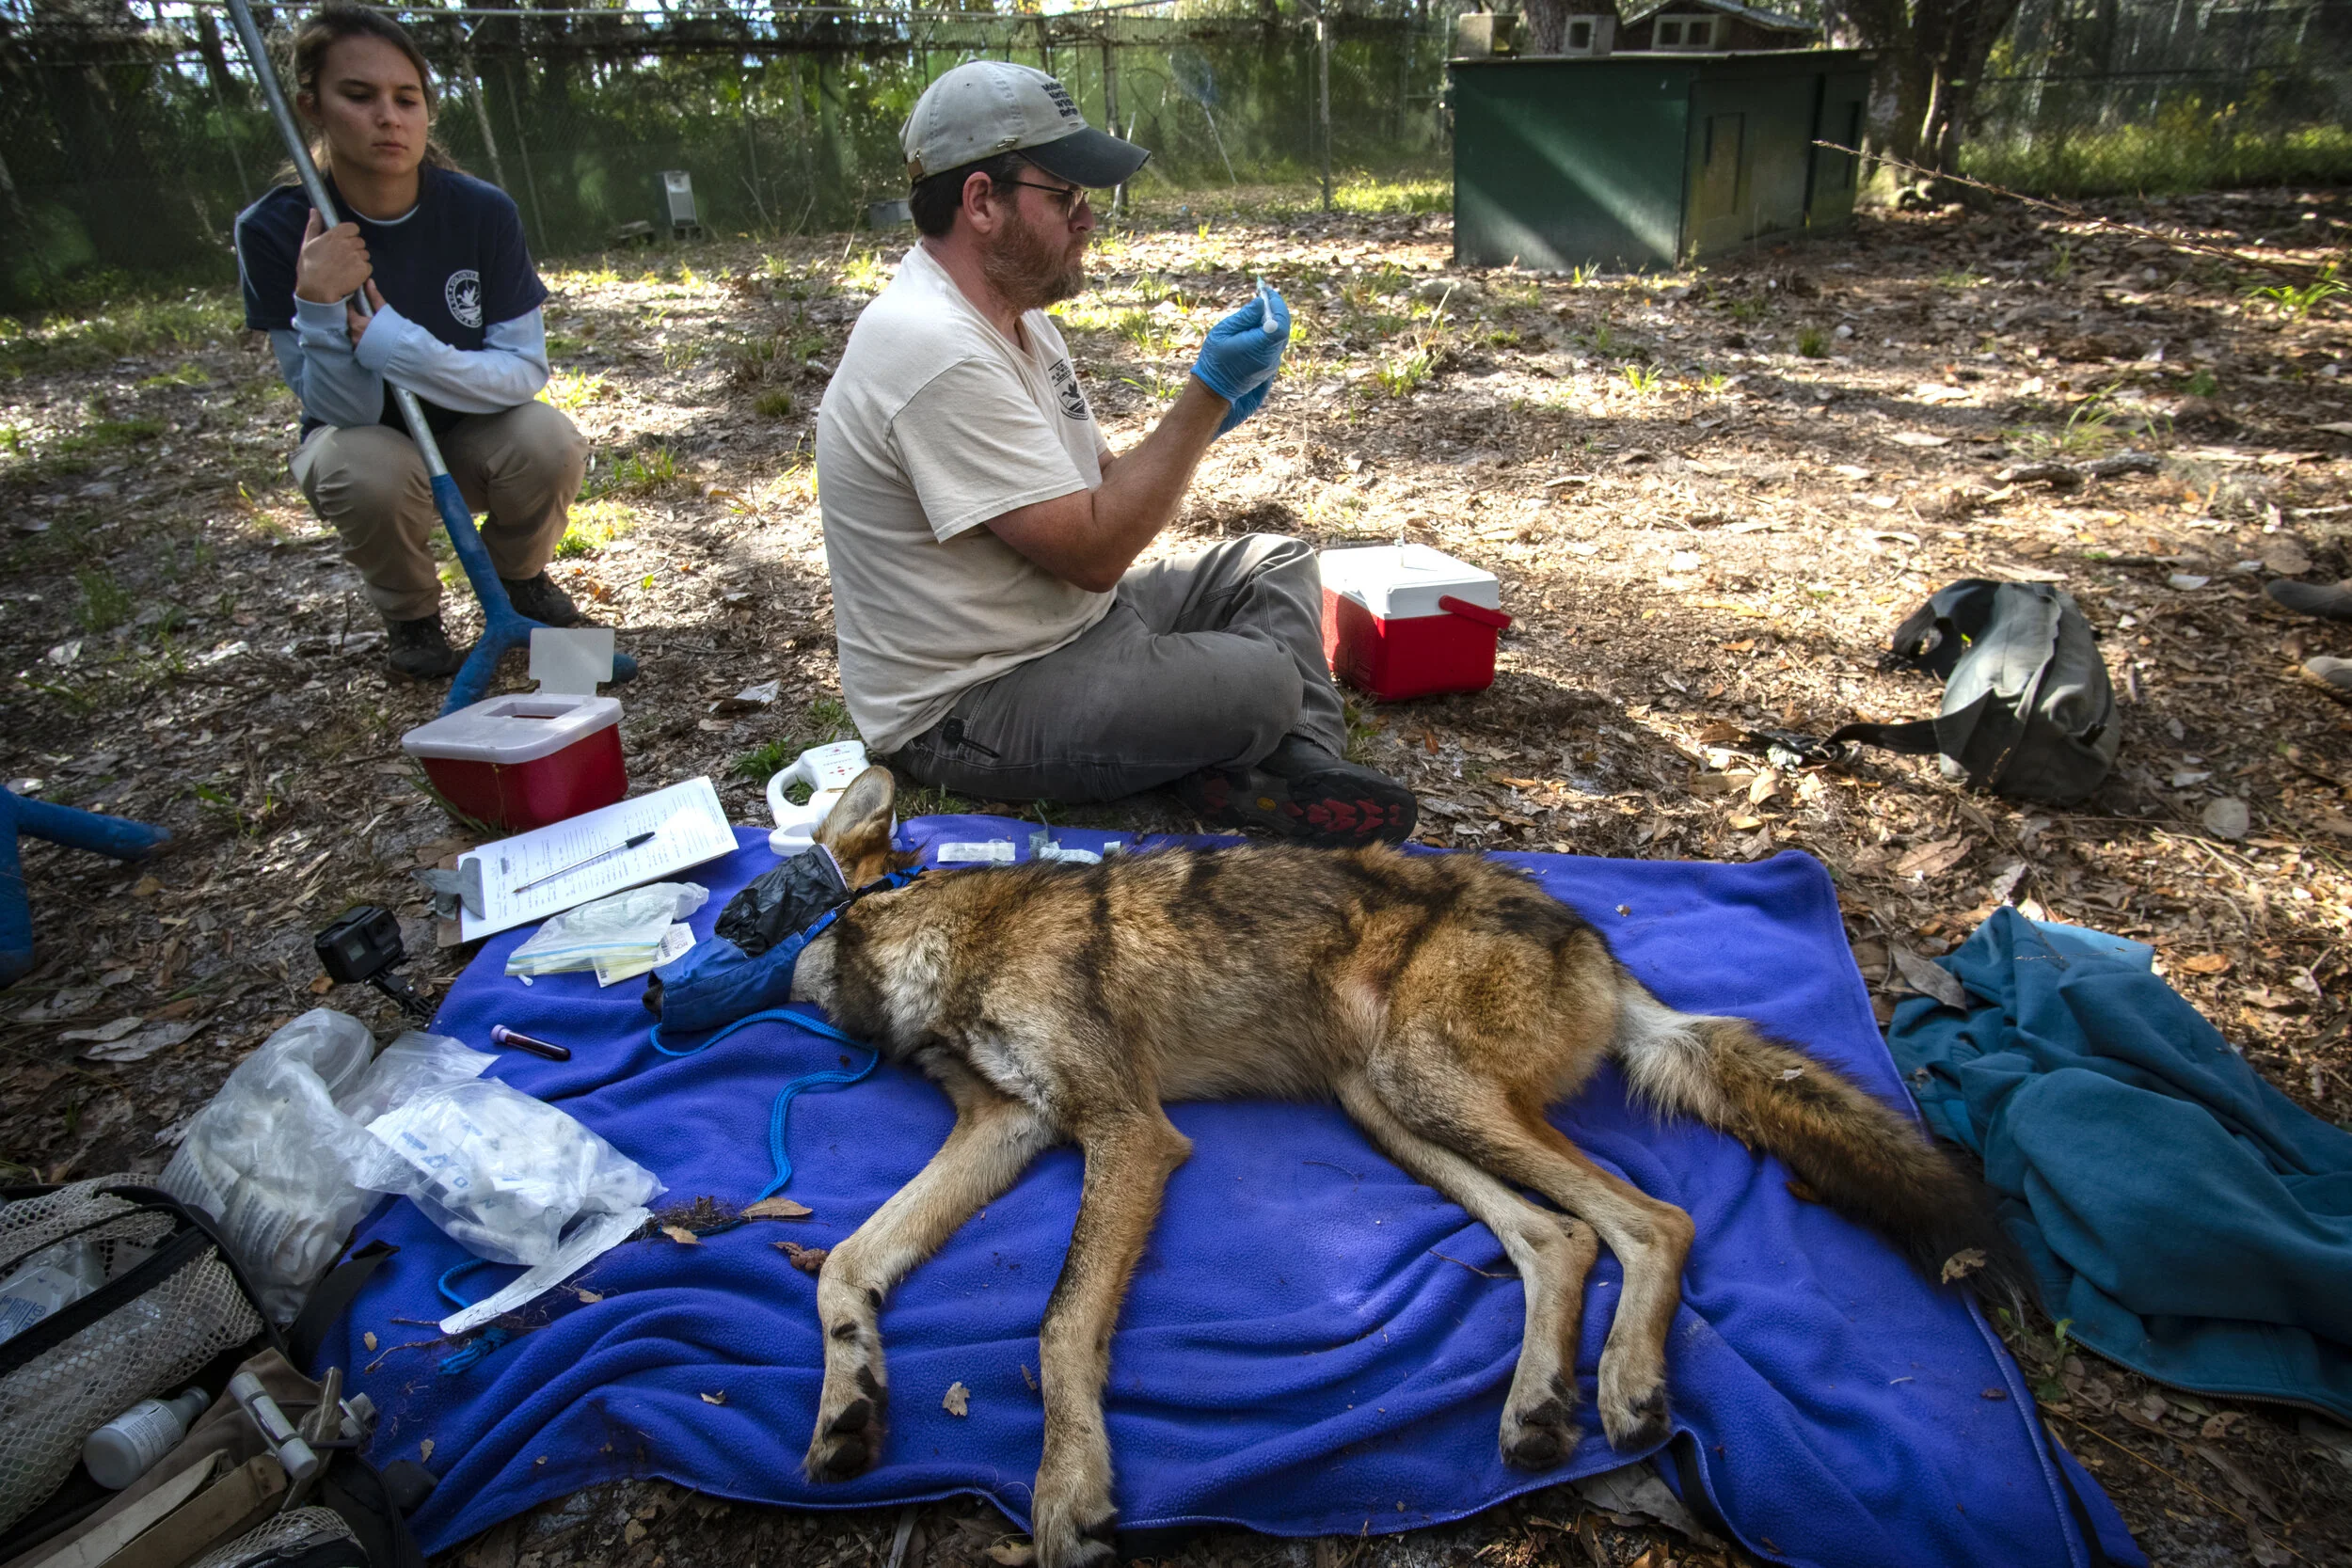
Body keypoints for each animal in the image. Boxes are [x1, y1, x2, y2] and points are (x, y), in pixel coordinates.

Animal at [788, 767, 1998, 1567]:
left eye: (760, 901)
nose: (684, 991)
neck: (948, 934)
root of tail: (1598, 945)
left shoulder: (1127, 1132)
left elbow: (1056, 1322)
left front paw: (1067, 1489)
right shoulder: (1009, 1127)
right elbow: (844, 1259)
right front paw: (847, 1402)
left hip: (1423, 1090)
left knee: (1656, 1218)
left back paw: (1624, 1386)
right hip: (1387, 1106)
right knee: (1561, 1235)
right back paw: (1539, 1406)